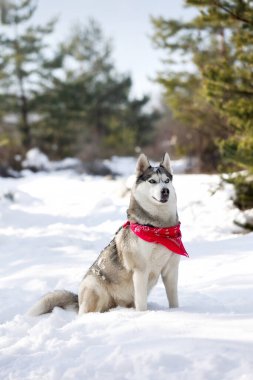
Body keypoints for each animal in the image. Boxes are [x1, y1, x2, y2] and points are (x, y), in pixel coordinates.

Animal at [29, 153, 186, 316]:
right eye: (152, 181)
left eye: (167, 181)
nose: (165, 191)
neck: (158, 228)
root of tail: (78, 300)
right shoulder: (140, 270)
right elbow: (142, 304)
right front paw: (143, 314)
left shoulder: (171, 270)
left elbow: (173, 299)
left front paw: (177, 311)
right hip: (95, 287)